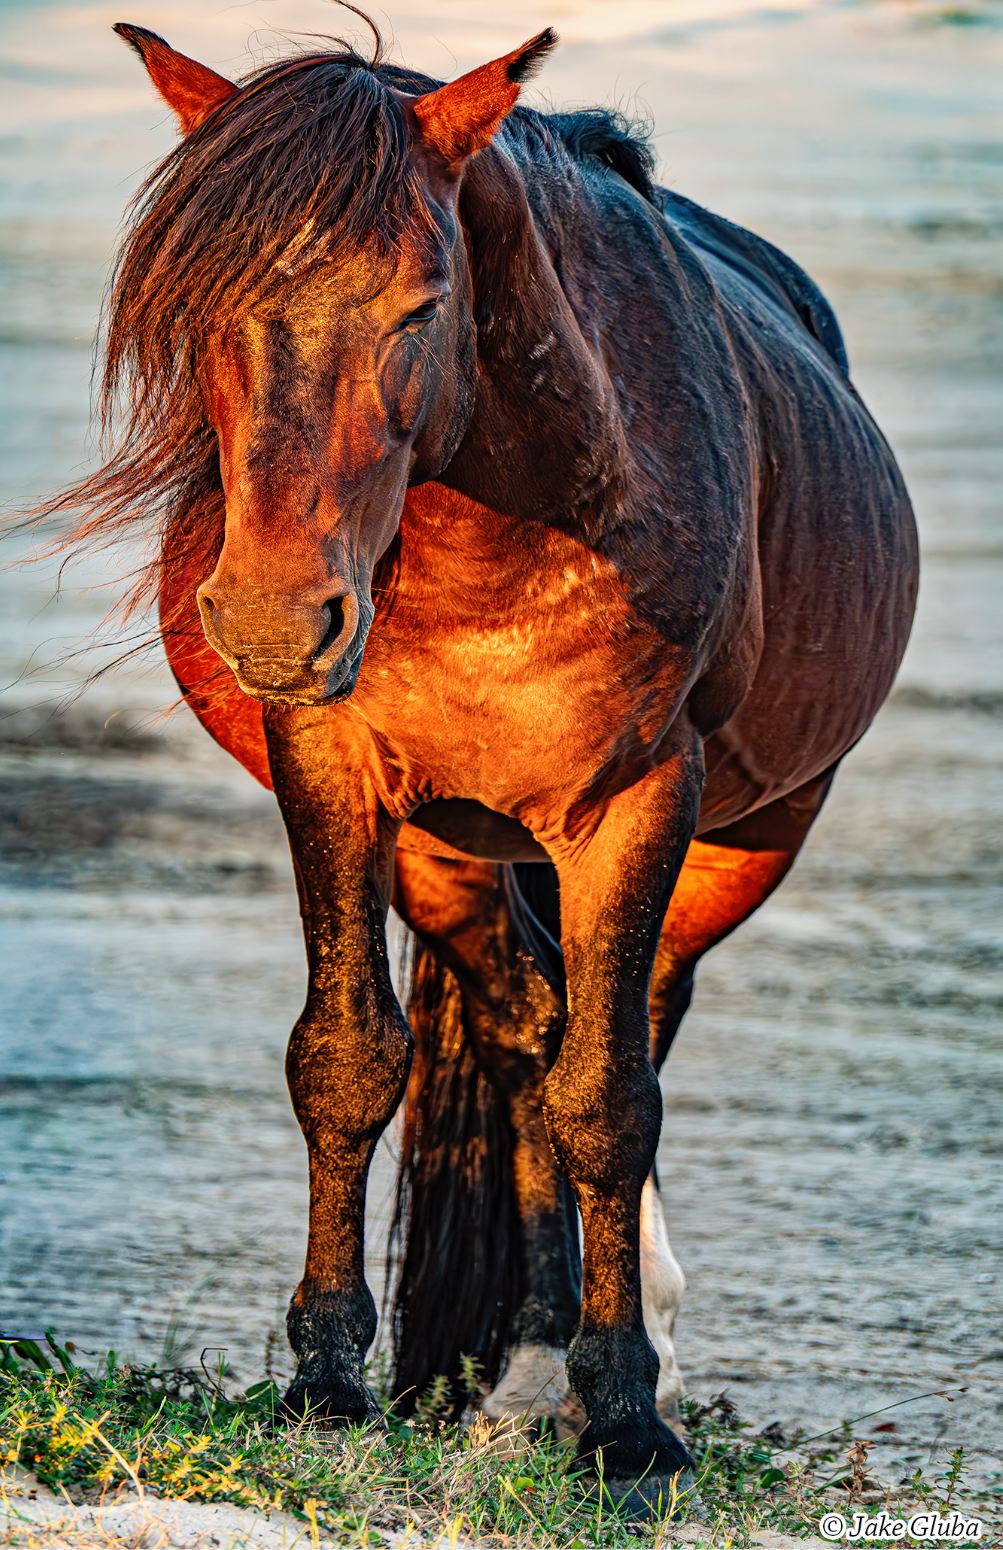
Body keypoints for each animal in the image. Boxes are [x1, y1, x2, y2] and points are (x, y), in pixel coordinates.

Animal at [43, 13, 918, 1504]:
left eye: (418, 302)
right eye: (202, 304)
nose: (270, 617)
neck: (492, 538)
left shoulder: (642, 800)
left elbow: (610, 1099)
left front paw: (627, 1420)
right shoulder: (328, 763)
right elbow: (348, 1058)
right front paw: (327, 1382)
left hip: (743, 839)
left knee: (622, 1031)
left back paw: (605, 1354)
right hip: (449, 852)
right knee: (522, 1030)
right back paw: (522, 1358)